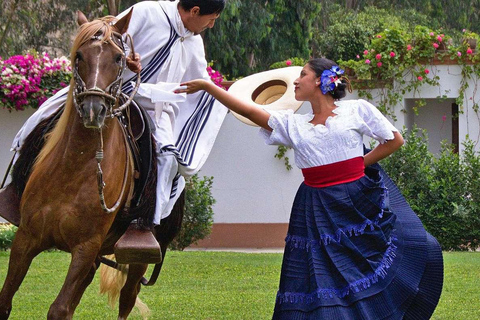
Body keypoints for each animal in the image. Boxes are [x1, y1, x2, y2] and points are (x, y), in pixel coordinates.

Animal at [0, 10, 184, 320]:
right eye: (79, 56)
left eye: (119, 58)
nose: (93, 110)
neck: (73, 169)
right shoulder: (26, 238)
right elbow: (7, 300)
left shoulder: (85, 248)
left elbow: (58, 309)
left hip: (136, 258)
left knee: (127, 298)